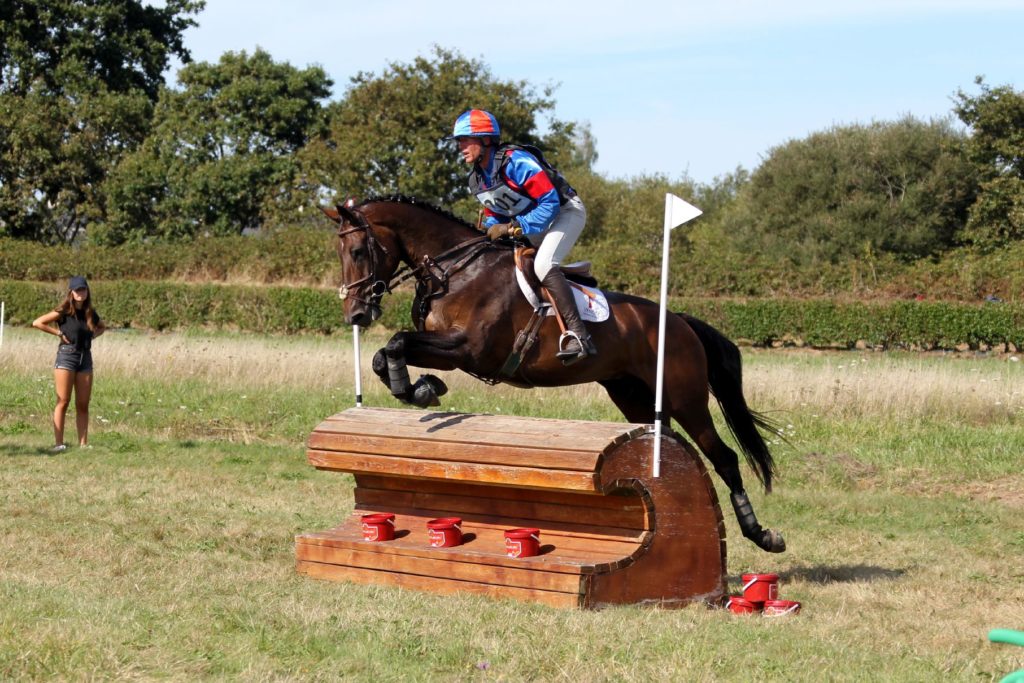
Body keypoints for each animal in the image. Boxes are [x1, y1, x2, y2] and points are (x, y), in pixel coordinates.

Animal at [325, 194, 782, 552]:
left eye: (359, 252)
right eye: (341, 253)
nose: (356, 315)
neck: (455, 271)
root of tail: (680, 321)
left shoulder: (469, 350)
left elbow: (397, 342)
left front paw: (416, 388)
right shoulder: (450, 349)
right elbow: (385, 354)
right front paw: (422, 387)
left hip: (686, 397)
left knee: (724, 458)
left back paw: (762, 534)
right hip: (633, 396)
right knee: (666, 442)